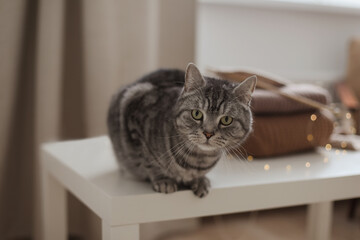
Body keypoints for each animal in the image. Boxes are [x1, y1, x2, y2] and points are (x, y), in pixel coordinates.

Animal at [107, 62, 256, 198]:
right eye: (197, 114)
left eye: (226, 120)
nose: (208, 133)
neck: (199, 160)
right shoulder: (134, 117)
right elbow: (148, 160)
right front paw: (163, 180)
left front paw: (200, 181)